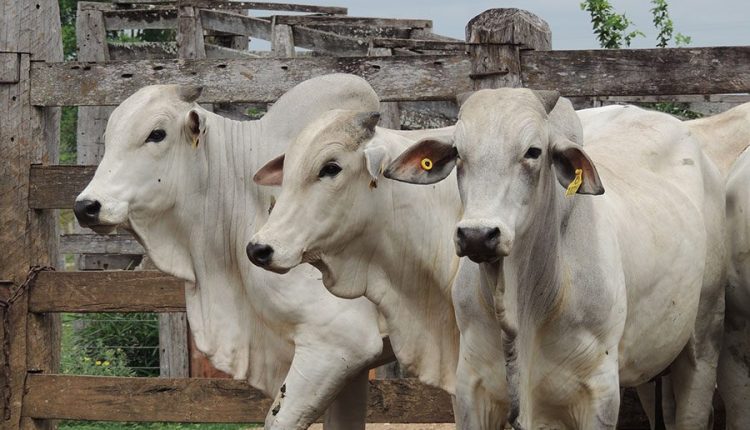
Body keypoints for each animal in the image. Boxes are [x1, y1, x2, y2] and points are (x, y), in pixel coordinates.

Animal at [384, 88, 724, 430]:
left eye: (533, 151)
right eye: (457, 153)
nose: (477, 235)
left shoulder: (599, 392)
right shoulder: (471, 387)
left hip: (703, 343)